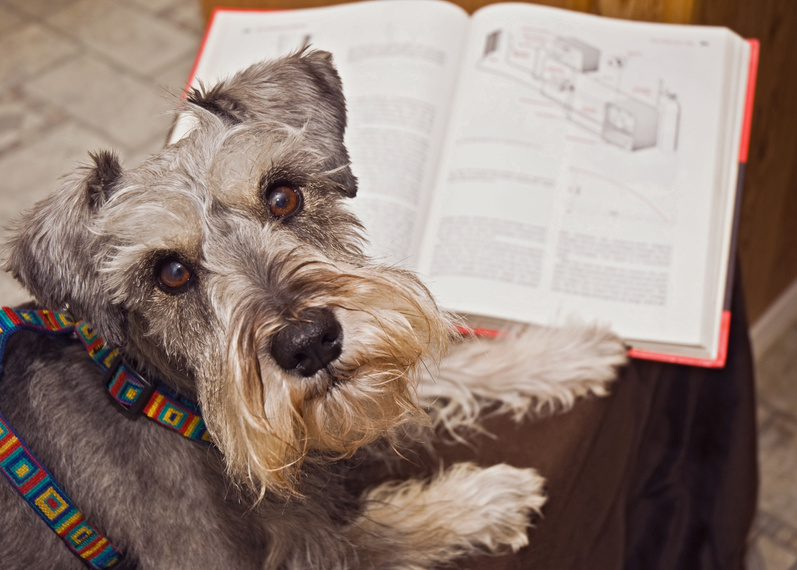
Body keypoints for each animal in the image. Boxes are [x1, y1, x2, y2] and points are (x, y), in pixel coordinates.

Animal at [0, 50, 620, 568]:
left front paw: (565, 352)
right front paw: (487, 497)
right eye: (170, 273)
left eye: (283, 196)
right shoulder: (287, 552)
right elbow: (383, 530)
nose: (309, 343)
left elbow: (450, 362)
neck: (159, 396)